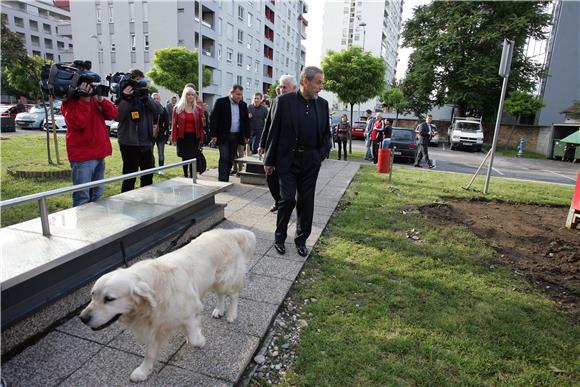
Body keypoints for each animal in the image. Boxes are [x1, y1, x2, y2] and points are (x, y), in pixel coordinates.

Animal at [80, 229, 256, 384]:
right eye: (92, 295)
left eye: (109, 299)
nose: (82, 318)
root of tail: (228, 232)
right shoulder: (153, 326)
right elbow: (149, 353)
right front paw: (143, 371)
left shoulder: (189, 313)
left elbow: (193, 338)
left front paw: (200, 340)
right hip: (214, 280)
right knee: (220, 295)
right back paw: (219, 310)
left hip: (227, 278)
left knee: (233, 294)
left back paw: (231, 314)